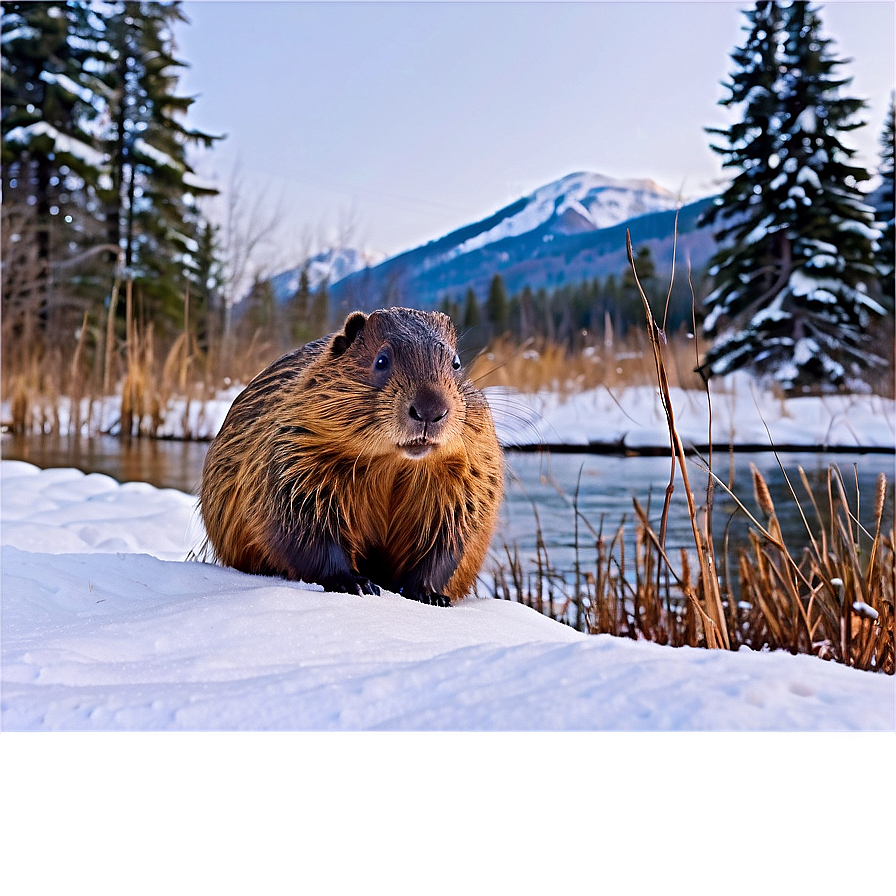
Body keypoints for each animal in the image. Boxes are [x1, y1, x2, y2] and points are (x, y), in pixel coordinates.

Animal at [198, 308, 504, 608]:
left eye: (456, 363)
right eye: (381, 360)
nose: (430, 410)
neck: (392, 463)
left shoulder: (469, 473)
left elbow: (449, 536)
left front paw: (430, 594)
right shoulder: (291, 451)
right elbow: (301, 523)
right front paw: (357, 583)